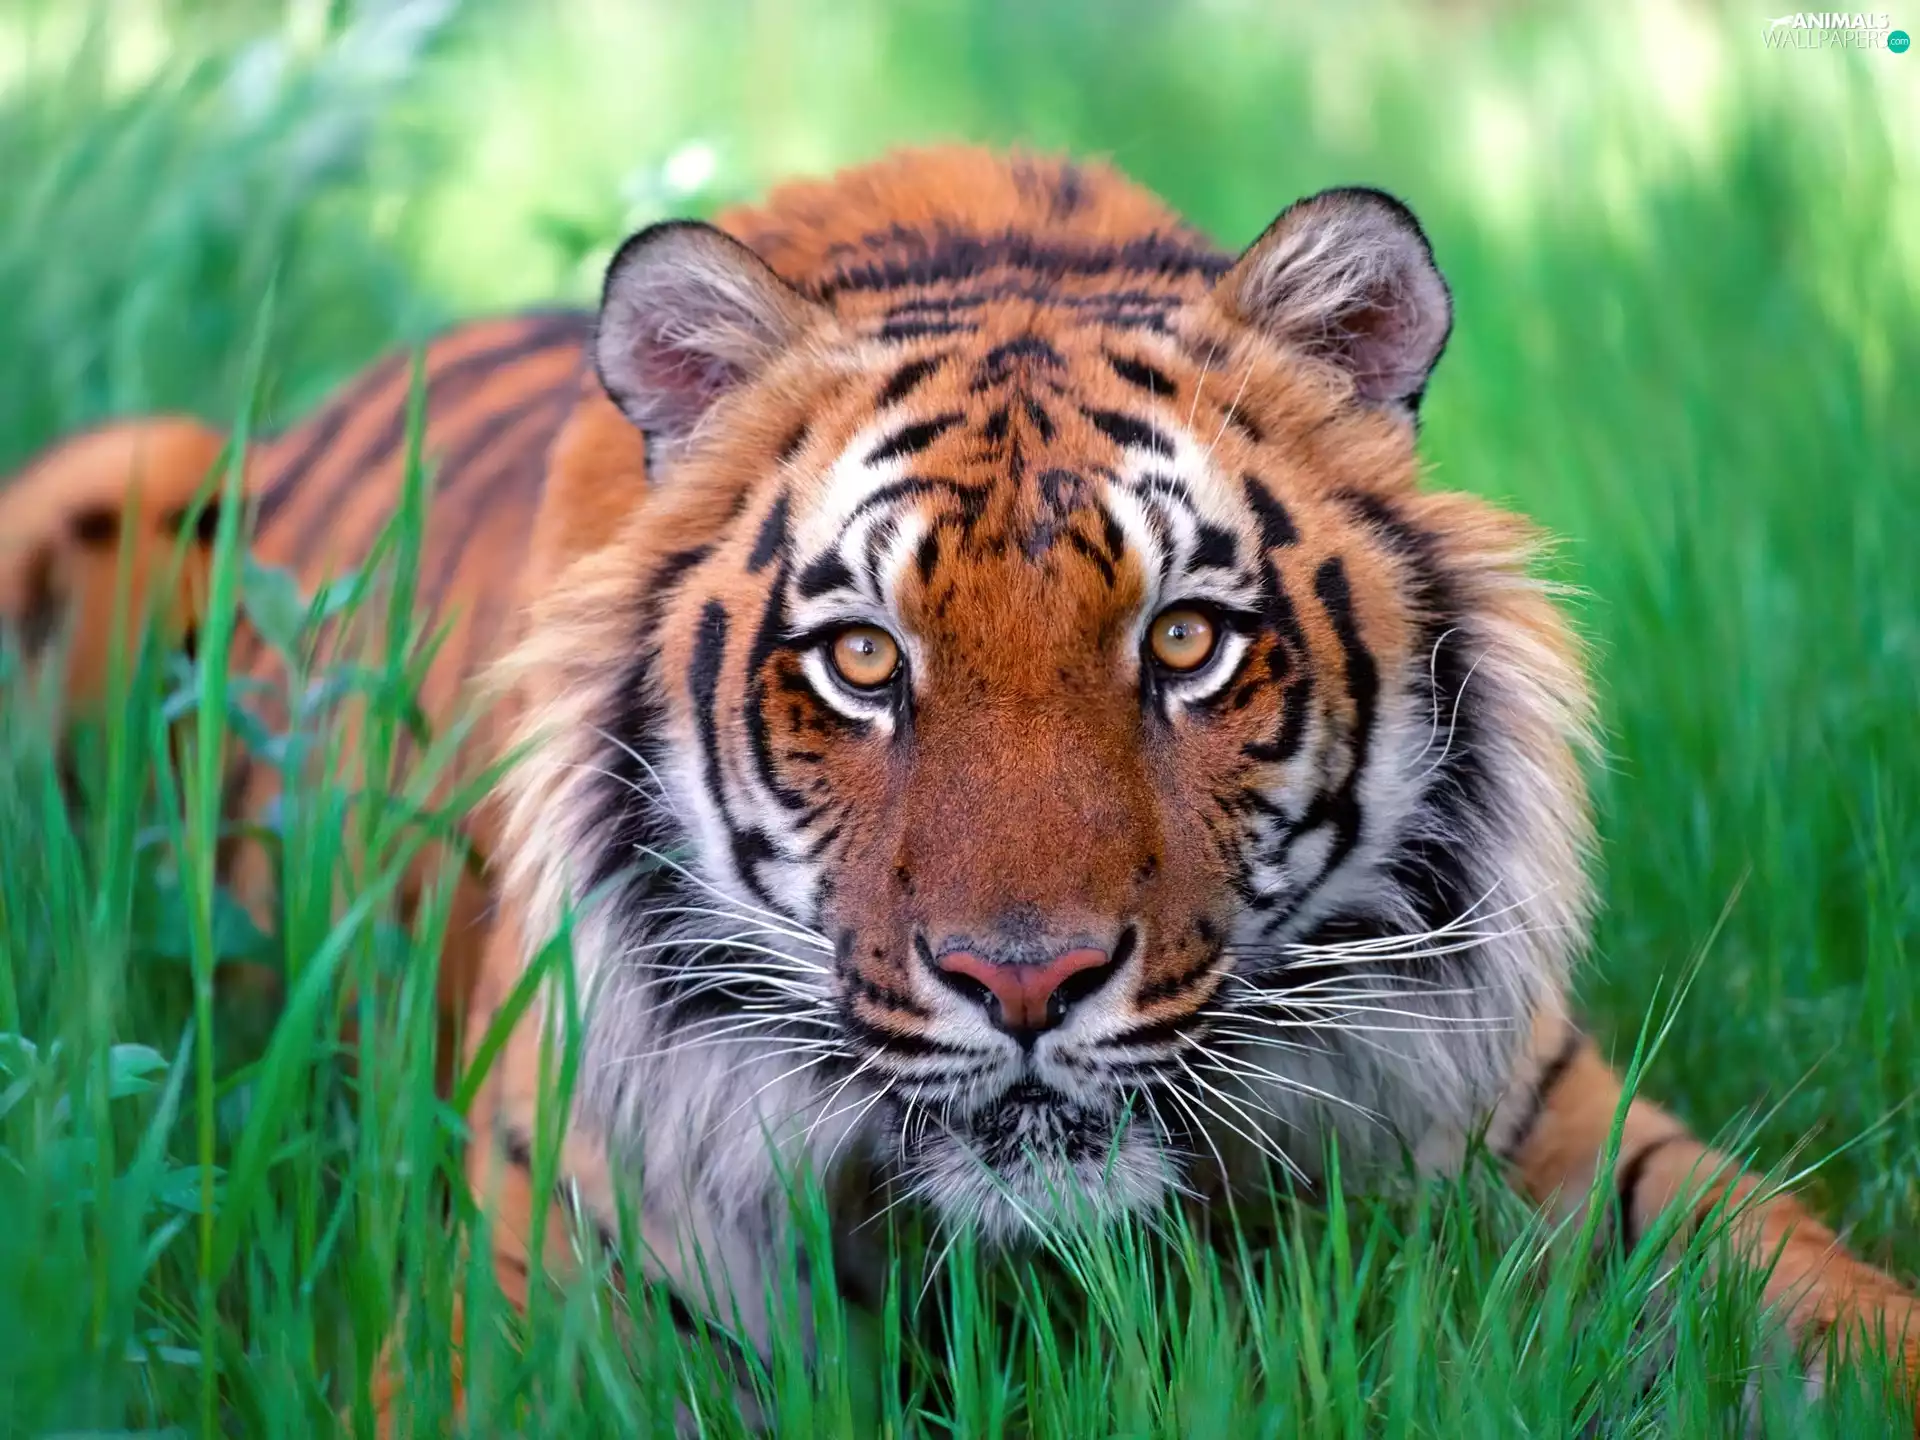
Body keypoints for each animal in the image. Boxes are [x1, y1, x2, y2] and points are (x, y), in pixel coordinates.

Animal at [2, 146, 1914, 1426]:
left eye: (1186, 641)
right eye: (863, 663)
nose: (1026, 983)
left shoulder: (1552, 1131)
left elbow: (1826, 1306)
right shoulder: (547, 1297)